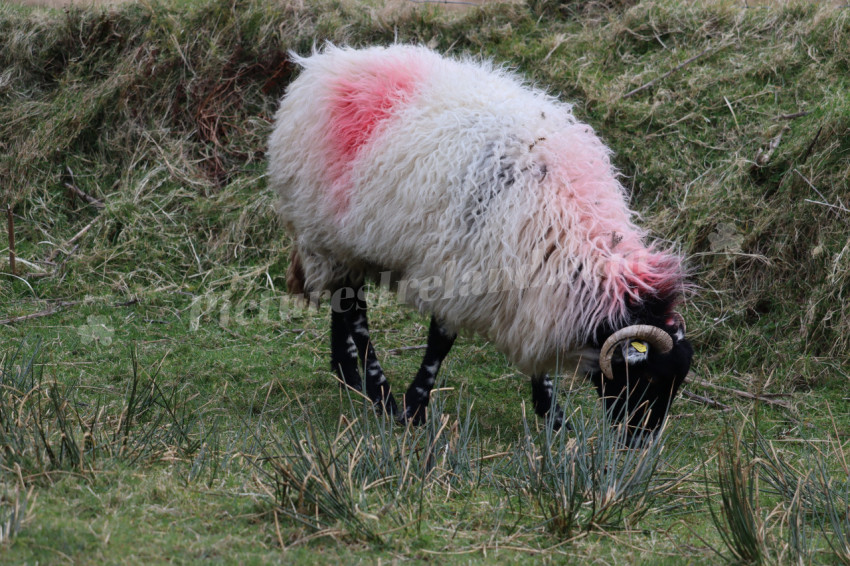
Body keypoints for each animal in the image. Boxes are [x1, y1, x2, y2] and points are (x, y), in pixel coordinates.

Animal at [267, 44, 693, 436]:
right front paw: (414, 409)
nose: (639, 443)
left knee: (343, 300)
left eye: (677, 382)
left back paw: (348, 376)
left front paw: (553, 417)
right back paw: (379, 393)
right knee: (356, 314)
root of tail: (325, 63)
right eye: (648, 378)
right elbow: (439, 344)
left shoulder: (532, 280)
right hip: (323, 229)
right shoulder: (458, 267)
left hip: (343, 241)